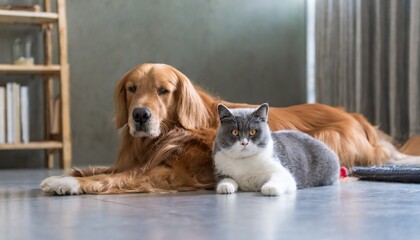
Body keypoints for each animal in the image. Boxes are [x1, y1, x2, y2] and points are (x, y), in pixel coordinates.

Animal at [213, 104, 342, 196]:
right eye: (234, 132)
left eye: (253, 131)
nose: (244, 143)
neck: (244, 161)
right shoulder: (221, 169)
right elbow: (226, 179)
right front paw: (225, 186)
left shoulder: (280, 168)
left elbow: (281, 177)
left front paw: (270, 188)